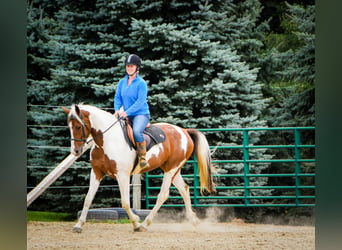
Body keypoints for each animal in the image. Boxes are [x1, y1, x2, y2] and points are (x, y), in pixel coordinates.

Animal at [62, 104, 215, 232]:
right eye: (69, 127)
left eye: (78, 127)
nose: (75, 151)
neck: (108, 141)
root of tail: (184, 131)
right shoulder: (96, 172)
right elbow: (88, 199)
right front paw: (78, 225)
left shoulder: (122, 175)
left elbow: (125, 203)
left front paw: (136, 223)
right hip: (172, 170)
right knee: (184, 189)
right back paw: (193, 220)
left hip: (171, 169)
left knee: (163, 195)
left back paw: (145, 224)